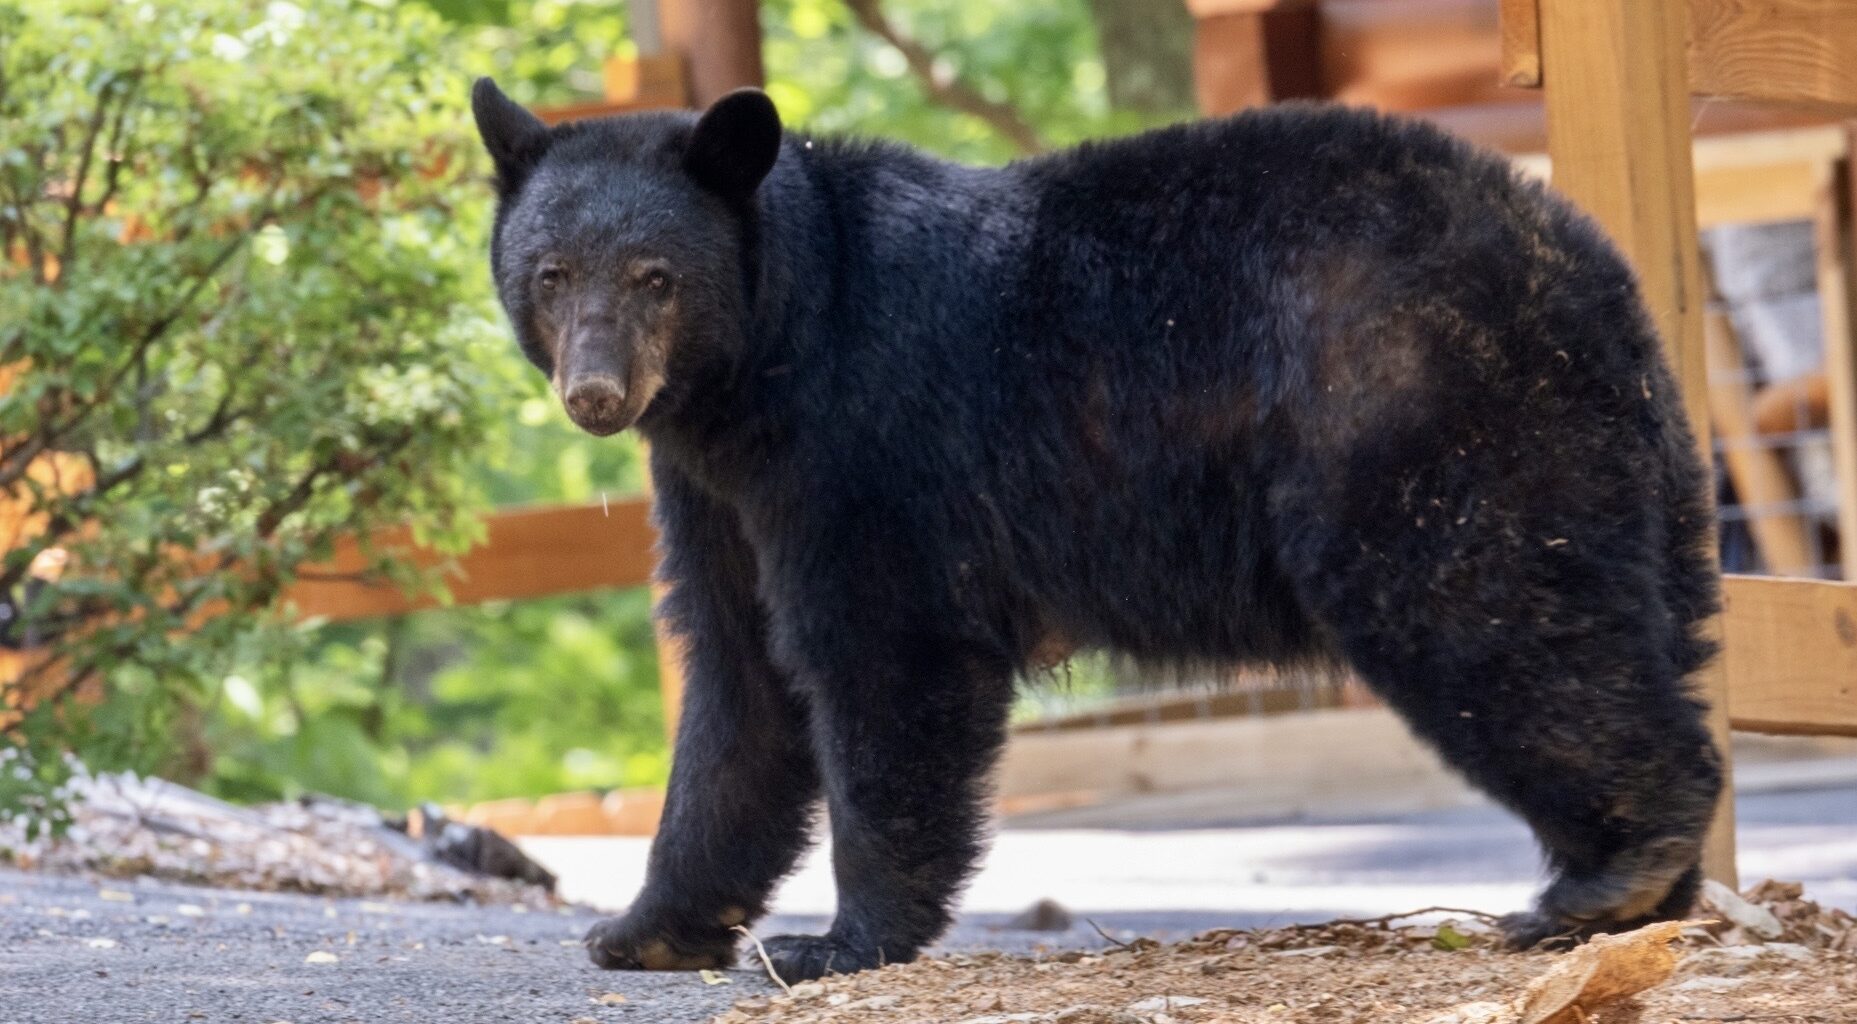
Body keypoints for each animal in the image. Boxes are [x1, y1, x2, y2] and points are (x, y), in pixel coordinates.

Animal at [469, 78, 1724, 982]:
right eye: (551, 271)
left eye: (656, 276)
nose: (597, 393)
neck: (769, 354)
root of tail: (1587, 262)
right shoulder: (718, 487)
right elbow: (738, 683)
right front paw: (647, 924)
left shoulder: (867, 442)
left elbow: (884, 658)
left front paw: (835, 939)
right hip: (1621, 469)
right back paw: (1643, 892)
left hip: (1415, 412)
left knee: (1487, 611)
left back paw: (1612, 871)